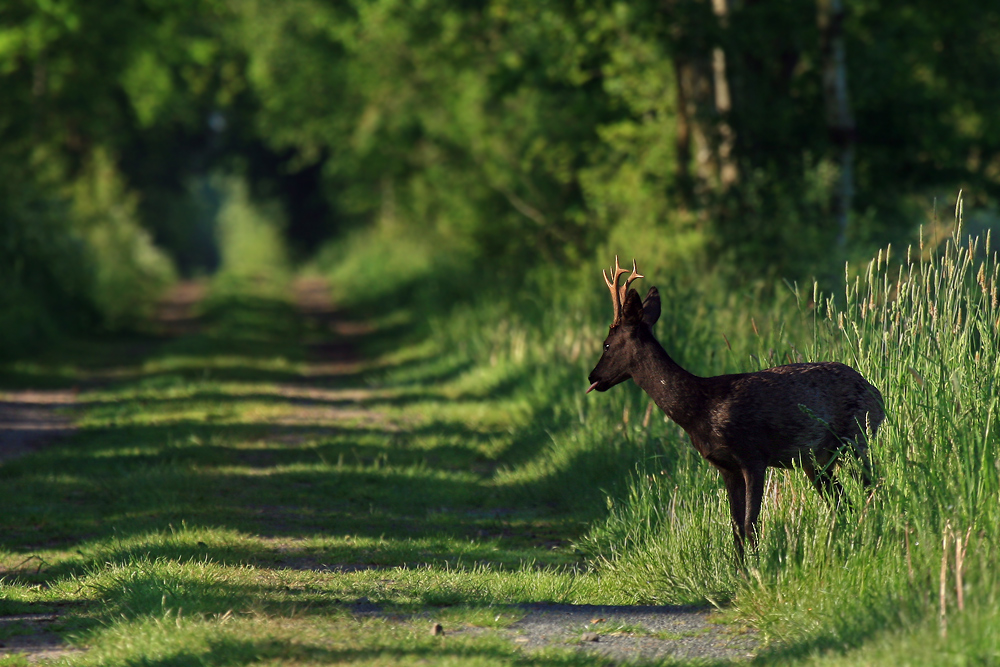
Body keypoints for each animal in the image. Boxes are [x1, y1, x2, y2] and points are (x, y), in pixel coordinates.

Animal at [584, 258, 884, 560]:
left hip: (856, 436)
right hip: (818, 460)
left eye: (606, 344)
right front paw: (741, 568)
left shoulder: (753, 455)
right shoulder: (725, 467)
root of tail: (877, 395)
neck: (700, 409)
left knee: (872, 485)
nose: (591, 376)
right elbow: (736, 528)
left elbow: (751, 524)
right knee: (842, 502)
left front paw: (757, 566)